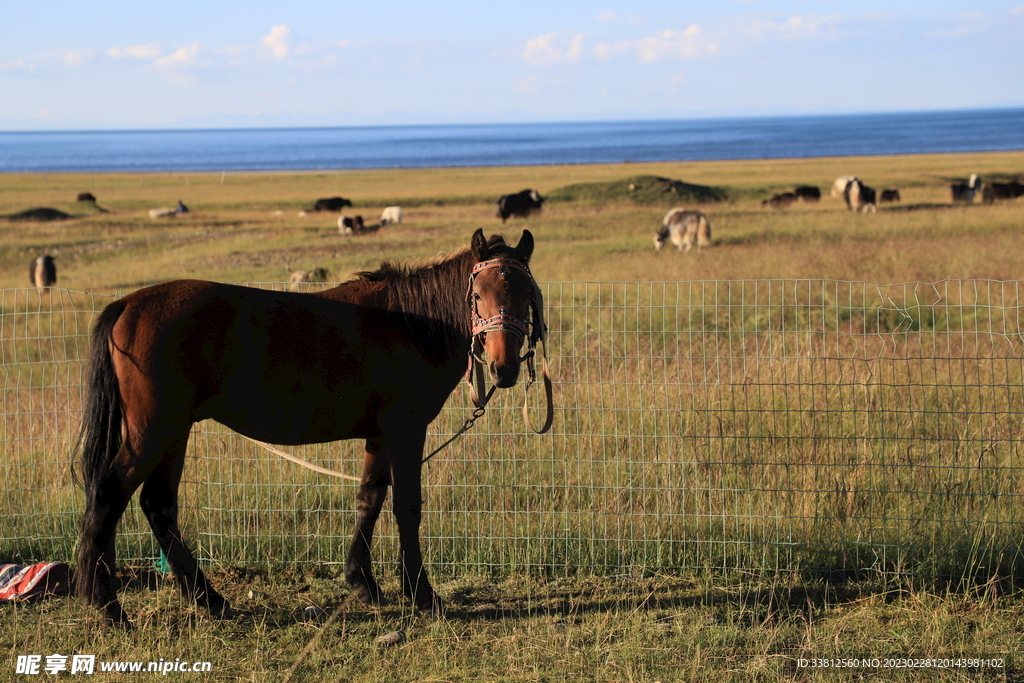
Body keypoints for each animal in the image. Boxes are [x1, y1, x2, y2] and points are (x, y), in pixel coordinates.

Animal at [75, 228, 544, 626]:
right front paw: (423, 596)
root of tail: (127, 305)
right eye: (478, 294)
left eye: (525, 295)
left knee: (158, 505)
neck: (413, 322)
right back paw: (108, 606)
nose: (503, 368)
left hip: (174, 430)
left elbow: (369, 499)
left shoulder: (379, 435)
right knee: (109, 495)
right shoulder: (406, 429)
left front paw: (362, 582)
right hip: (153, 429)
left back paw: (209, 599)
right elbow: (406, 507)